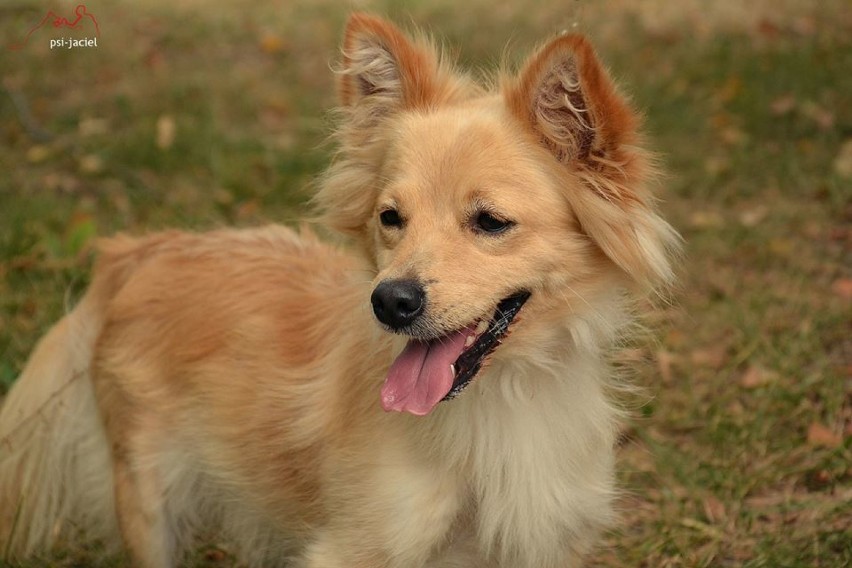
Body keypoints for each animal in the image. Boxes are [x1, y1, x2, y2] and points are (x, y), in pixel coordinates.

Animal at [0, 12, 680, 568]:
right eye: (390, 218)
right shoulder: (356, 545)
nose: (390, 302)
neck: (506, 398)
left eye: (490, 222)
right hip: (146, 500)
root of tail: (135, 250)